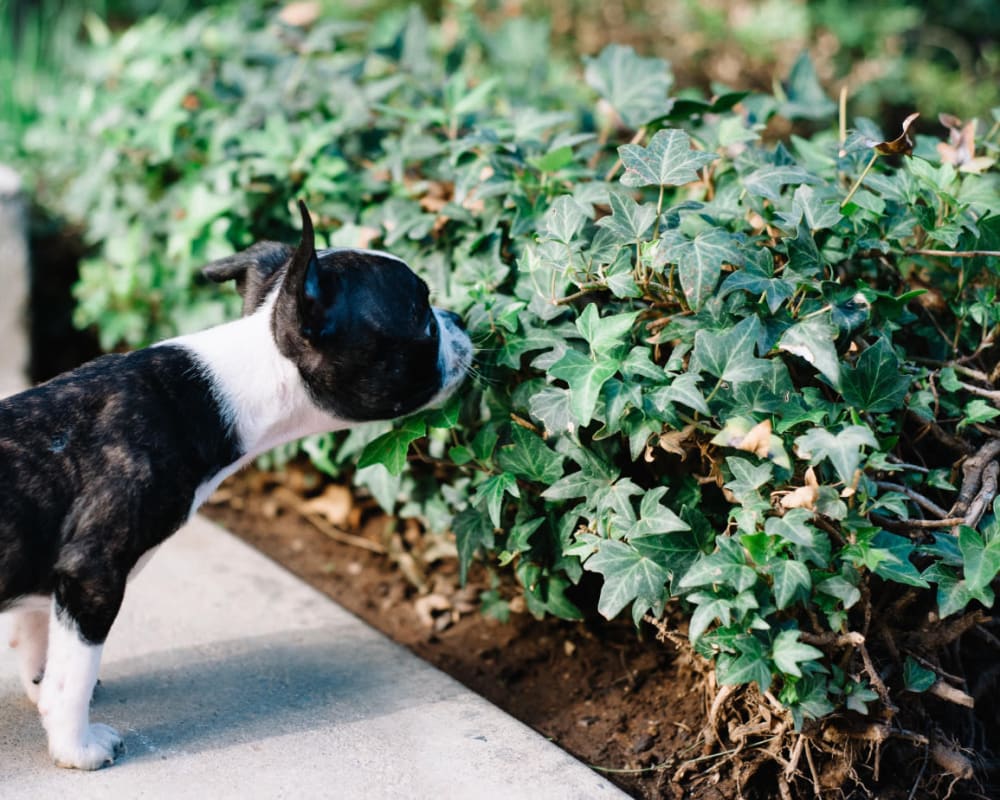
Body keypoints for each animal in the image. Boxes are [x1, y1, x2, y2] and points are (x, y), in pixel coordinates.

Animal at [0, 200, 472, 768]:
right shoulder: (92, 571)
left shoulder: (50, 574)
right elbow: (73, 674)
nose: (460, 319)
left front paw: (41, 693)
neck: (234, 382)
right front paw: (77, 747)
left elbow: (40, 643)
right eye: (423, 315)